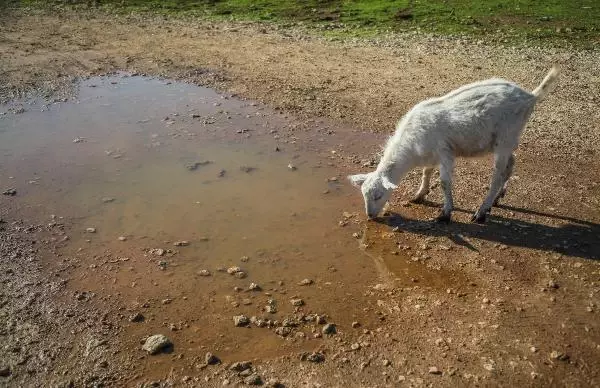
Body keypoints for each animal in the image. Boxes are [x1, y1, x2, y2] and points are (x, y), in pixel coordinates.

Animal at [350, 66, 560, 223]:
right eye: (363, 195)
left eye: (378, 195)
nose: (370, 216)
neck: (411, 147)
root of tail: (530, 97)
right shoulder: (431, 154)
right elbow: (426, 172)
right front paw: (420, 194)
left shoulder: (445, 152)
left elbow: (444, 182)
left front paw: (445, 213)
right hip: (507, 141)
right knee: (510, 165)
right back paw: (498, 199)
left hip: (506, 138)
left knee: (498, 175)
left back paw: (481, 211)